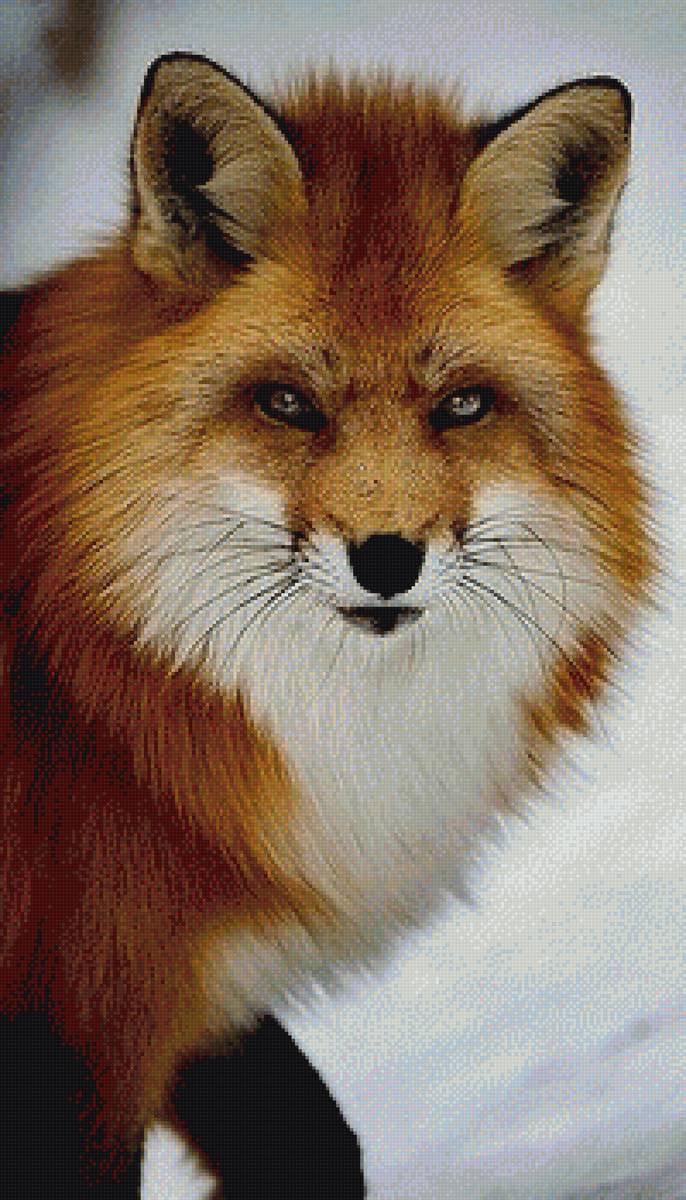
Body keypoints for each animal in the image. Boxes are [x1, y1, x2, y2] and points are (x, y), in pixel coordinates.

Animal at [0, 51, 655, 1198]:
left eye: (461, 407)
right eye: (289, 404)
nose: (387, 558)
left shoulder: (182, 990)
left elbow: (317, 1143)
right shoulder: (81, 1021)